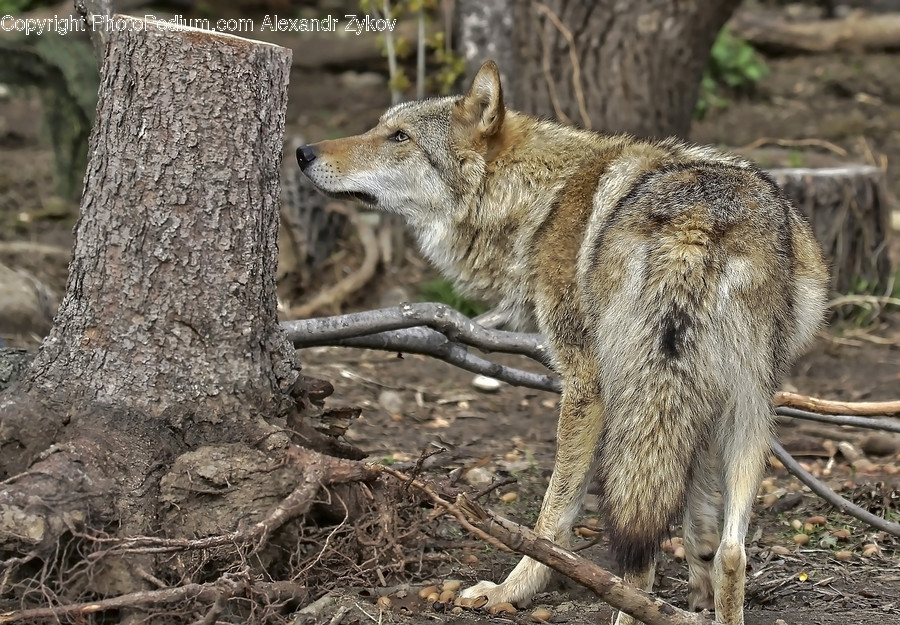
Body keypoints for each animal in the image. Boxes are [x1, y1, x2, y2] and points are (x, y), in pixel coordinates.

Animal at [296, 60, 829, 625]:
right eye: (380, 126)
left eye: (399, 137)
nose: (303, 152)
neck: (538, 202)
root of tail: (699, 219)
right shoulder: (706, 405)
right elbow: (696, 515)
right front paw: (699, 594)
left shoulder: (583, 384)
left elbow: (554, 516)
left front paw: (512, 591)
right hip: (749, 406)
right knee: (732, 550)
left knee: (633, 548)